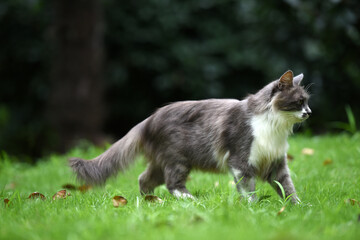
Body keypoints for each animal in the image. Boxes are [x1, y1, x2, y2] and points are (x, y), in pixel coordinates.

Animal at [69, 70, 310, 203]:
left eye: (307, 101)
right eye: (299, 101)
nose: (309, 112)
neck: (276, 128)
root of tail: (149, 119)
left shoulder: (276, 162)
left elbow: (288, 187)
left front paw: (298, 207)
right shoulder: (240, 160)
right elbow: (248, 188)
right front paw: (253, 207)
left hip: (162, 162)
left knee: (144, 178)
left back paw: (150, 201)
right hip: (178, 160)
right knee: (172, 184)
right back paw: (189, 200)